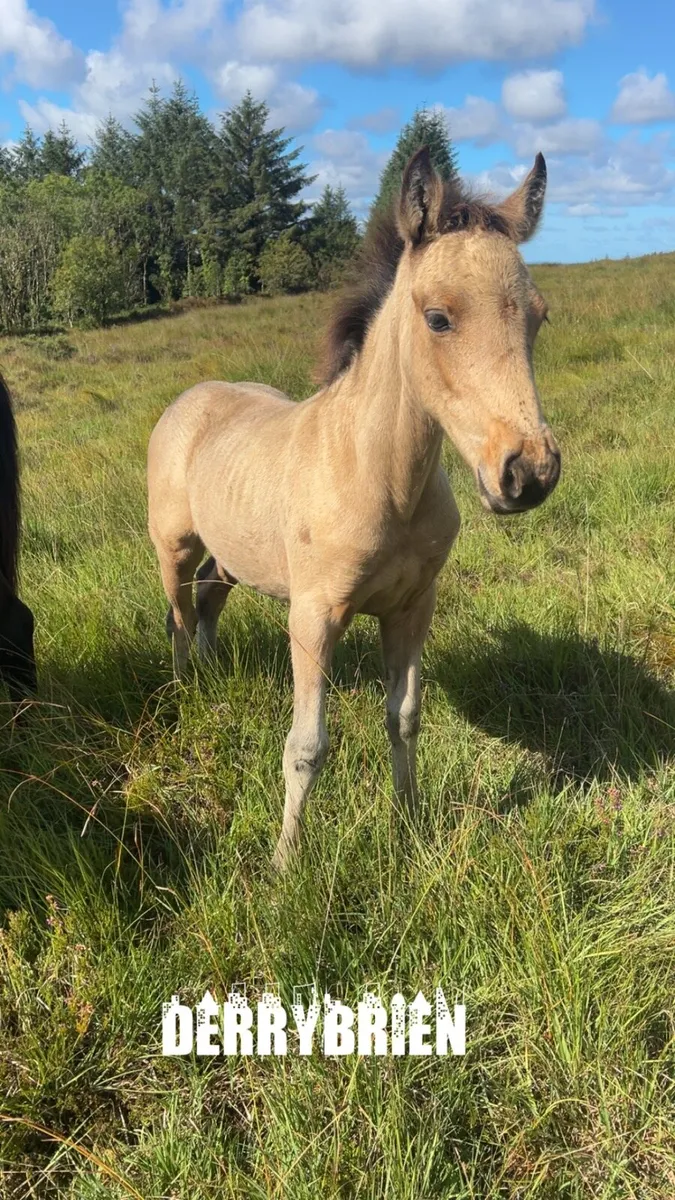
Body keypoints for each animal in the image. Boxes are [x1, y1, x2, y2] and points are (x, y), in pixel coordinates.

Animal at [147, 148, 560, 870]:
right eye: (437, 317)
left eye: (536, 316)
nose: (528, 473)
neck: (380, 479)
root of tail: (187, 399)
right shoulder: (314, 618)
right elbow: (307, 745)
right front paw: (286, 862)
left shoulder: (411, 609)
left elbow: (405, 716)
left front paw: (410, 821)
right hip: (172, 544)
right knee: (176, 609)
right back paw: (186, 689)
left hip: (233, 555)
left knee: (207, 597)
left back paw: (212, 668)